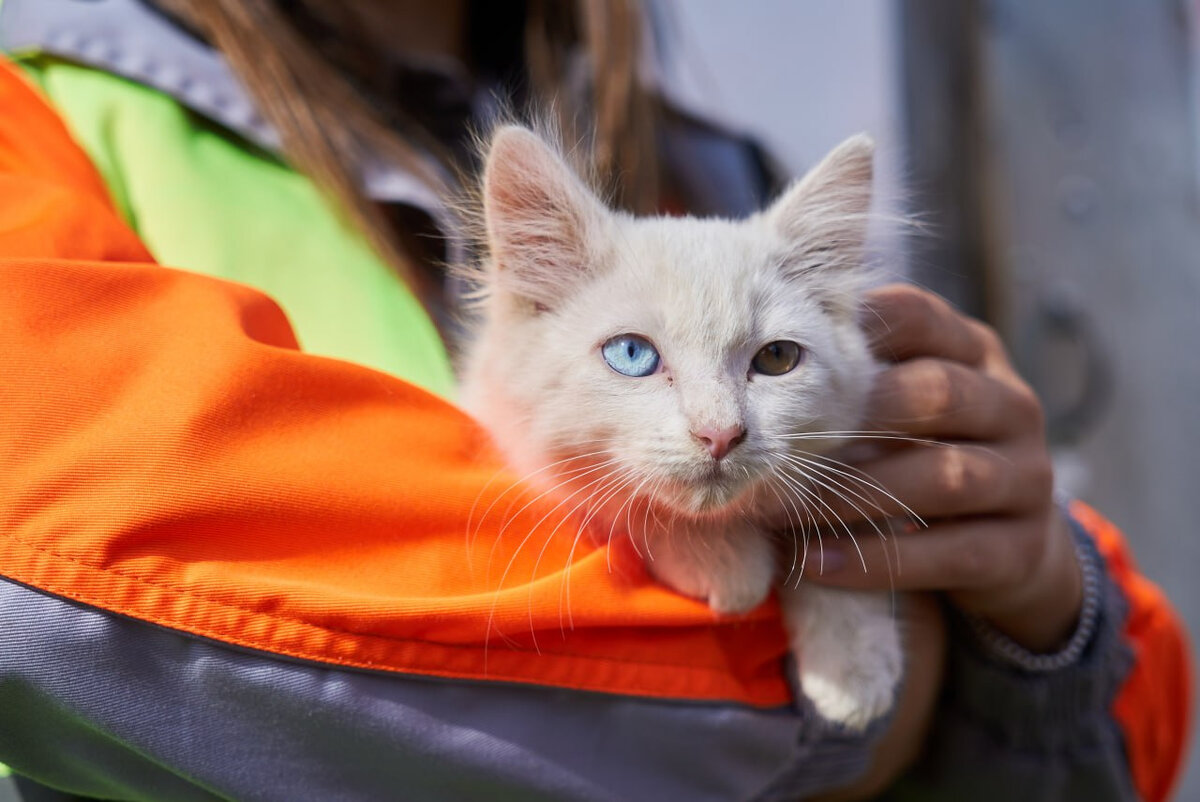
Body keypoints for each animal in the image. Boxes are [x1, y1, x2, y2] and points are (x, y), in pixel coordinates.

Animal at [456, 125, 902, 734]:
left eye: (778, 358)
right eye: (631, 354)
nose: (720, 434)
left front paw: (853, 658)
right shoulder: (500, 425)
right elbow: (610, 497)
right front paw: (718, 557)